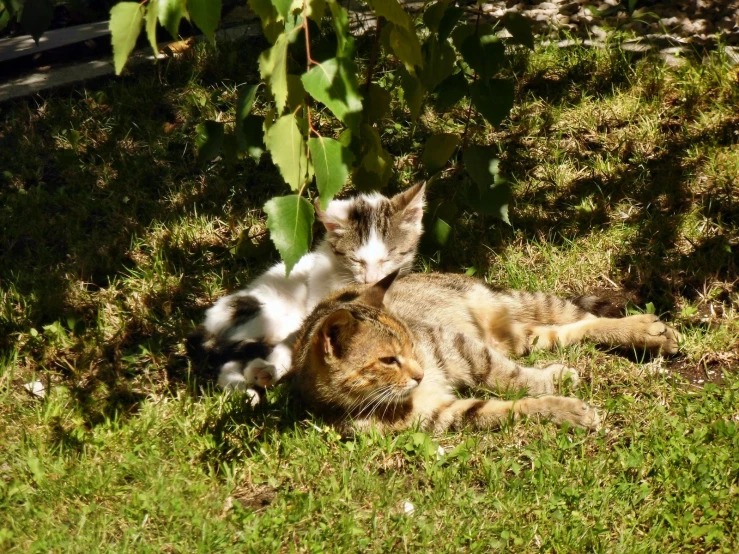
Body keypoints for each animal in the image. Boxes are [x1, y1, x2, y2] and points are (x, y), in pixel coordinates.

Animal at [199, 183, 424, 398]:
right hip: (265, 314)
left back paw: (244, 389)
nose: (371, 279)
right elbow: (301, 336)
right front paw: (271, 367)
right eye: (356, 260)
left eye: (388, 258)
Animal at [290, 272, 684, 432]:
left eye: (411, 344)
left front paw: (548, 384)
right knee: (566, 332)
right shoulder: (444, 414)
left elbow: (510, 376)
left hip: (516, 303)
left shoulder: (459, 347)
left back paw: (648, 330)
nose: (419, 374)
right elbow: (506, 407)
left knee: (583, 317)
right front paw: (564, 408)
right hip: (520, 337)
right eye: (388, 360)